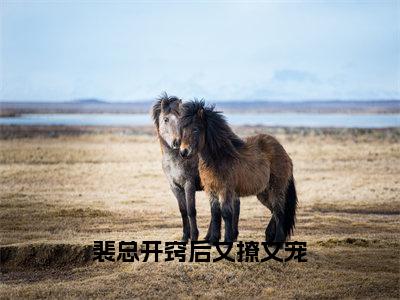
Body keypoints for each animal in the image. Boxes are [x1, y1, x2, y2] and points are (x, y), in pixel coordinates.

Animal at [151, 94, 239, 244]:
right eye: (166, 119)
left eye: (180, 120)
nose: (177, 143)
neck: (176, 159)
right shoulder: (175, 187)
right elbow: (183, 211)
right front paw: (184, 237)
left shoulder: (189, 185)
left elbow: (191, 210)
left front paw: (193, 236)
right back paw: (210, 236)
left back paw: (231, 235)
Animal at [178, 99, 296, 245]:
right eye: (183, 129)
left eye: (195, 129)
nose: (183, 152)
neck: (219, 157)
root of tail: (284, 152)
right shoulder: (211, 190)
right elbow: (215, 213)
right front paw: (213, 240)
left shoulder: (225, 190)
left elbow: (226, 213)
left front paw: (227, 240)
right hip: (263, 193)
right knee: (274, 210)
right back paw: (269, 236)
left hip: (276, 188)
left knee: (279, 211)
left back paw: (278, 240)